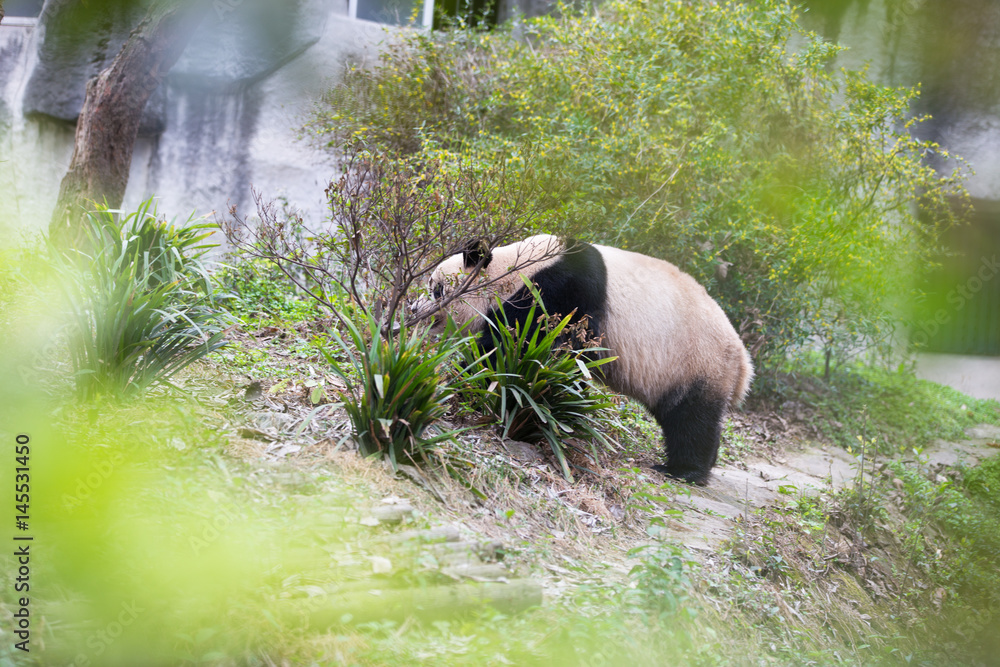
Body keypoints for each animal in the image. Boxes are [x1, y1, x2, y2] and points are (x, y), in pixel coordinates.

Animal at [426, 235, 752, 486]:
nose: (417, 310)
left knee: (691, 418)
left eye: (436, 288)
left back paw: (684, 470)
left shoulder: (562, 291)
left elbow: (530, 348)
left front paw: (465, 382)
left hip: (698, 361)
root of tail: (743, 362)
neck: (516, 269)